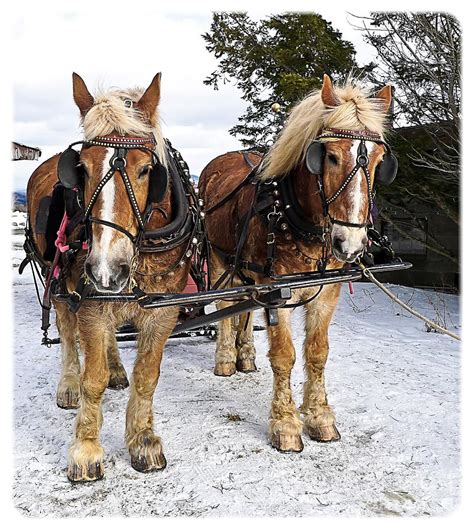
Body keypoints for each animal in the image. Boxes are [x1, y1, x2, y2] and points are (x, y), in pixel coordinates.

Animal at [25, 72, 198, 480]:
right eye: (82, 169)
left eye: (147, 170)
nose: (106, 270)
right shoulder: (90, 303)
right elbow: (94, 378)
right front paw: (86, 449)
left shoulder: (163, 310)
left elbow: (148, 376)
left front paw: (143, 440)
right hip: (60, 283)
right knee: (67, 333)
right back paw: (68, 384)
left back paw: (118, 367)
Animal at [198, 74, 398, 452]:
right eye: (329, 156)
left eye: (380, 161)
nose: (350, 244)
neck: (294, 216)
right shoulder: (278, 292)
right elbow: (284, 354)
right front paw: (286, 424)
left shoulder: (326, 291)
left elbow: (317, 352)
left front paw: (319, 417)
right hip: (219, 261)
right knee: (226, 306)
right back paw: (226, 359)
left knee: (244, 309)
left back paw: (245, 355)